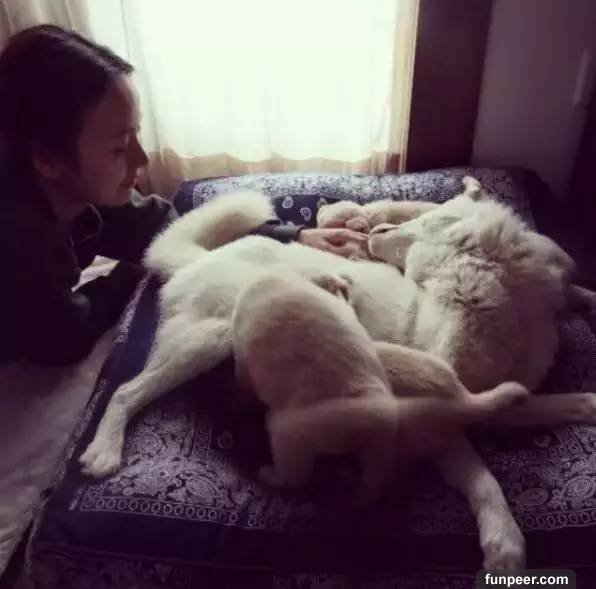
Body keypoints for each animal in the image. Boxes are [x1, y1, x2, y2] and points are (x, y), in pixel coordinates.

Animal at [80, 180, 596, 569]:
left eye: (417, 225)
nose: (377, 230)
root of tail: (201, 258)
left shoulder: (502, 399)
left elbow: (549, 401)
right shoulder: (442, 425)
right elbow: (484, 479)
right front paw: (504, 546)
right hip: (207, 342)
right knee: (125, 391)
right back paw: (104, 450)